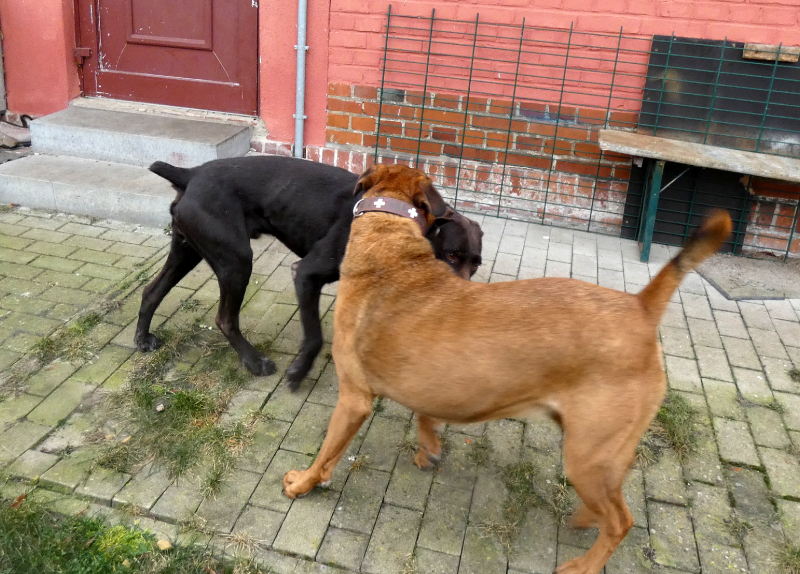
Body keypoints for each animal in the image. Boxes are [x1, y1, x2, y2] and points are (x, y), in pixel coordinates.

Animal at [134, 156, 483, 389]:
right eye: (451, 255)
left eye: (476, 264)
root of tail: (190, 173)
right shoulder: (306, 274)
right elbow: (314, 336)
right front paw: (299, 372)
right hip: (236, 260)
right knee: (225, 319)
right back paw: (254, 362)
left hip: (188, 249)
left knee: (151, 291)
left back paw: (142, 339)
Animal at [282, 164, 732, 574]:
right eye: (453, 256)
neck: (391, 249)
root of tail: (639, 307)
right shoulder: (431, 383)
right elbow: (426, 416)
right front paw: (428, 445)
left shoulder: (354, 400)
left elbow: (326, 455)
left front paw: (304, 483)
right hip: (600, 448)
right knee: (615, 495)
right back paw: (588, 518)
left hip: (585, 457)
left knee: (621, 521)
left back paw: (584, 564)